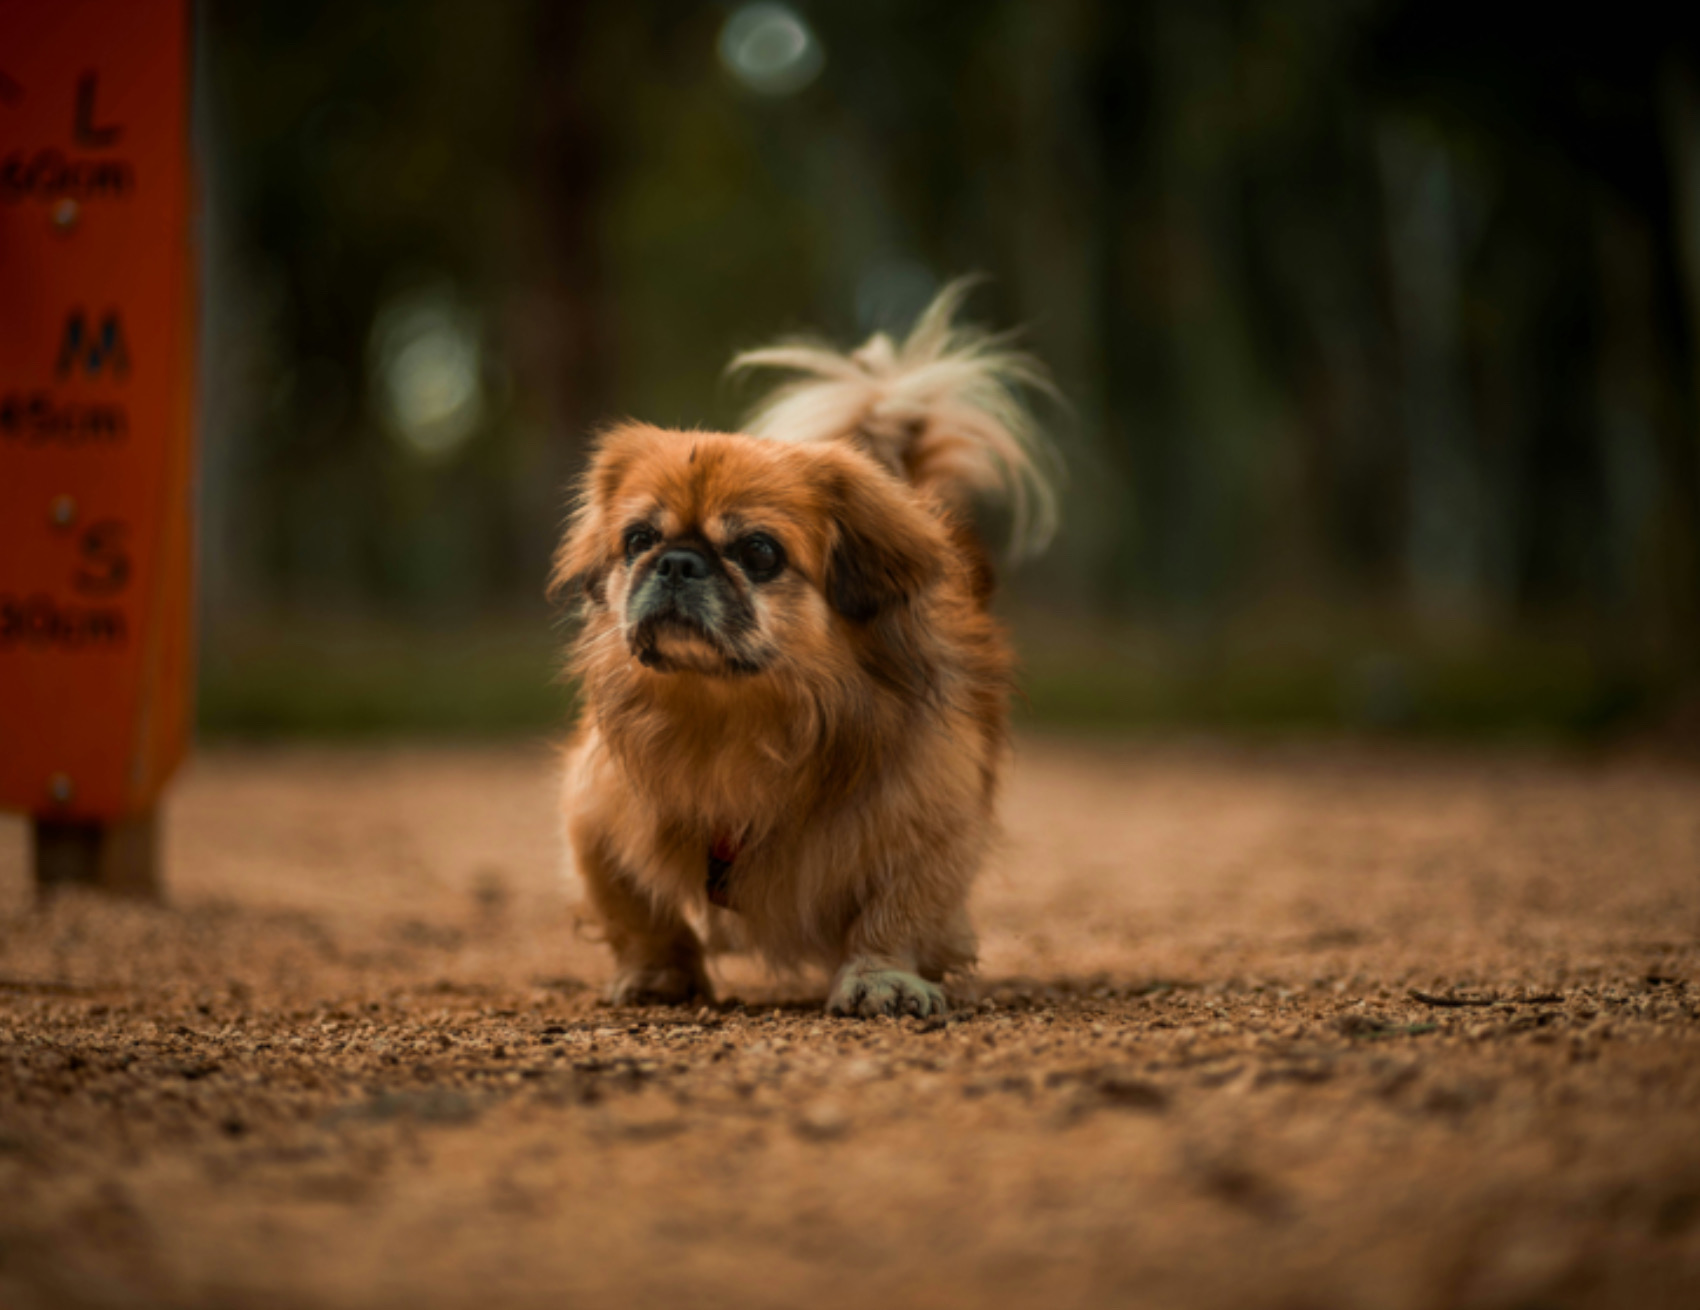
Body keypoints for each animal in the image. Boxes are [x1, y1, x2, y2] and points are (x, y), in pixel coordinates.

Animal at [550, 287, 1054, 1019]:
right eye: (639, 538)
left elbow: (898, 908)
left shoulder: (930, 812)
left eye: (759, 552)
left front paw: (881, 979)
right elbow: (635, 909)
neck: (729, 716)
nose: (676, 562)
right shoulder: (594, 812)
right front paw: (657, 975)